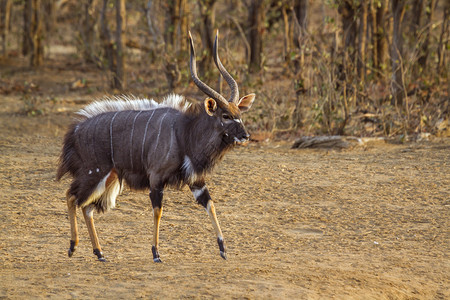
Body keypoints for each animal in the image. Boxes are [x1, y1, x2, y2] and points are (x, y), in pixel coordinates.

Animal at [56, 31, 255, 262]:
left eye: (239, 114)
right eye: (225, 116)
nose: (245, 135)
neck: (185, 133)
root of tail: (75, 131)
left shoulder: (196, 181)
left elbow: (210, 204)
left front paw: (223, 249)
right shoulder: (156, 177)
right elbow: (158, 211)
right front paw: (156, 252)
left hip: (108, 177)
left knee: (86, 207)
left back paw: (99, 253)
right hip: (94, 173)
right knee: (72, 196)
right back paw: (73, 246)